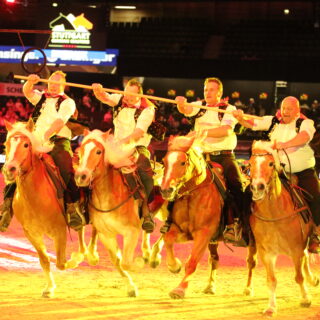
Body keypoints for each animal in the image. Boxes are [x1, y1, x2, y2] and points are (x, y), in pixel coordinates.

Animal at [3, 119, 87, 298]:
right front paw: (49, 288)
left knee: (81, 230)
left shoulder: (59, 231)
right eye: (6, 144)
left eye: (26, 144)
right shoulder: (31, 233)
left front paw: (74, 261)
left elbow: (61, 263)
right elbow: (44, 260)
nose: (9, 169)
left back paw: (84, 255)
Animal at [249, 141, 318, 316]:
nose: (258, 187)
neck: (274, 214)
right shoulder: (266, 253)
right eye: (250, 164)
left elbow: (298, 277)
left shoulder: (296, 249)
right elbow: (271, 280)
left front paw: (305, 299)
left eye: (270, 163)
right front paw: (271, 307)